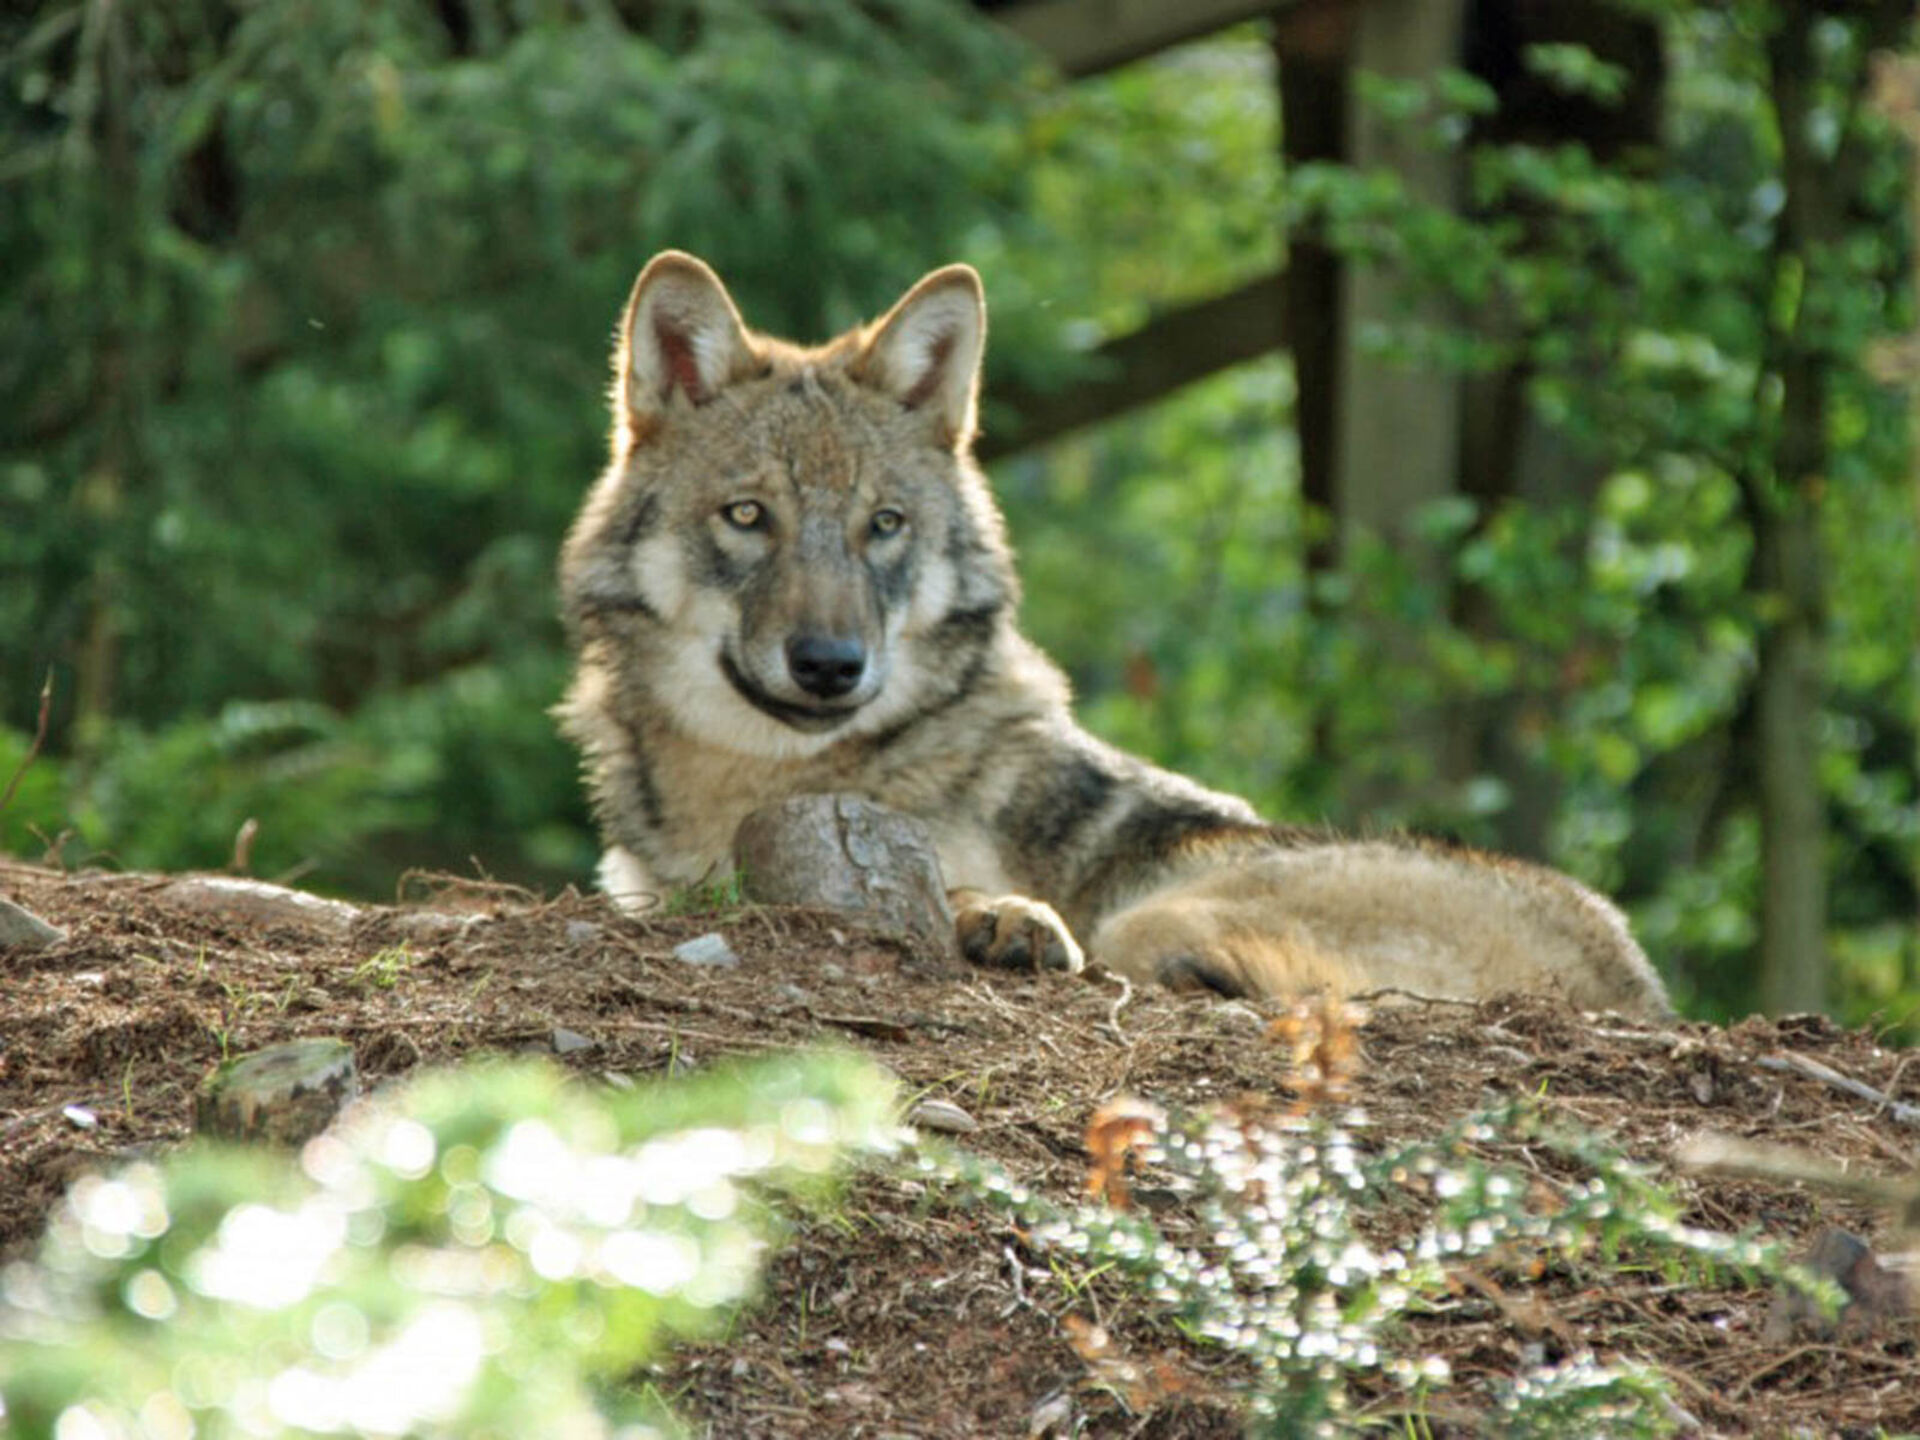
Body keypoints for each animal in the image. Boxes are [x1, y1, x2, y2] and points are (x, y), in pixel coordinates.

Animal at [552, 253, 1666, 1021]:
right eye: (748, 517)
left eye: (884, 526)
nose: (831, 667)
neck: (752, 779)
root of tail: (1638, 989)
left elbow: (949, 885)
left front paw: (1003, 918)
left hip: (1160, 907)